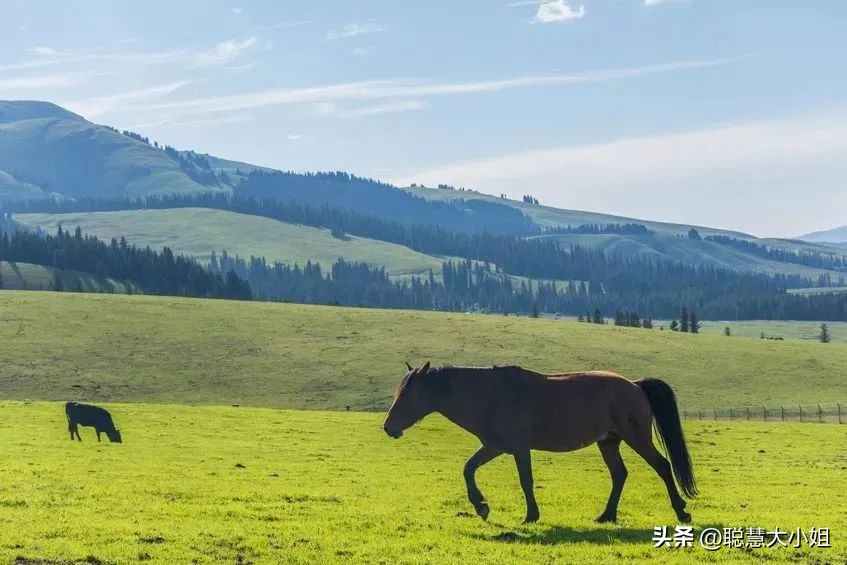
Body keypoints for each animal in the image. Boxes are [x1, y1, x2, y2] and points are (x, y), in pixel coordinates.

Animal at [384, 364, 696, 524]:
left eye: (408, 394)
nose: (389, 427)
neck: (490, 395)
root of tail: (633, 384)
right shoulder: (495, 446)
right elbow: (468, 469)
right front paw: (481, 506)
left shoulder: (519, 448)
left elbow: (526, 481)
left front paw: (531, 515)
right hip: (608, 442)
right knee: (619, 475)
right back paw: (606, 515)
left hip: (636, 438)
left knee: (662, 466)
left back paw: (681, 511)